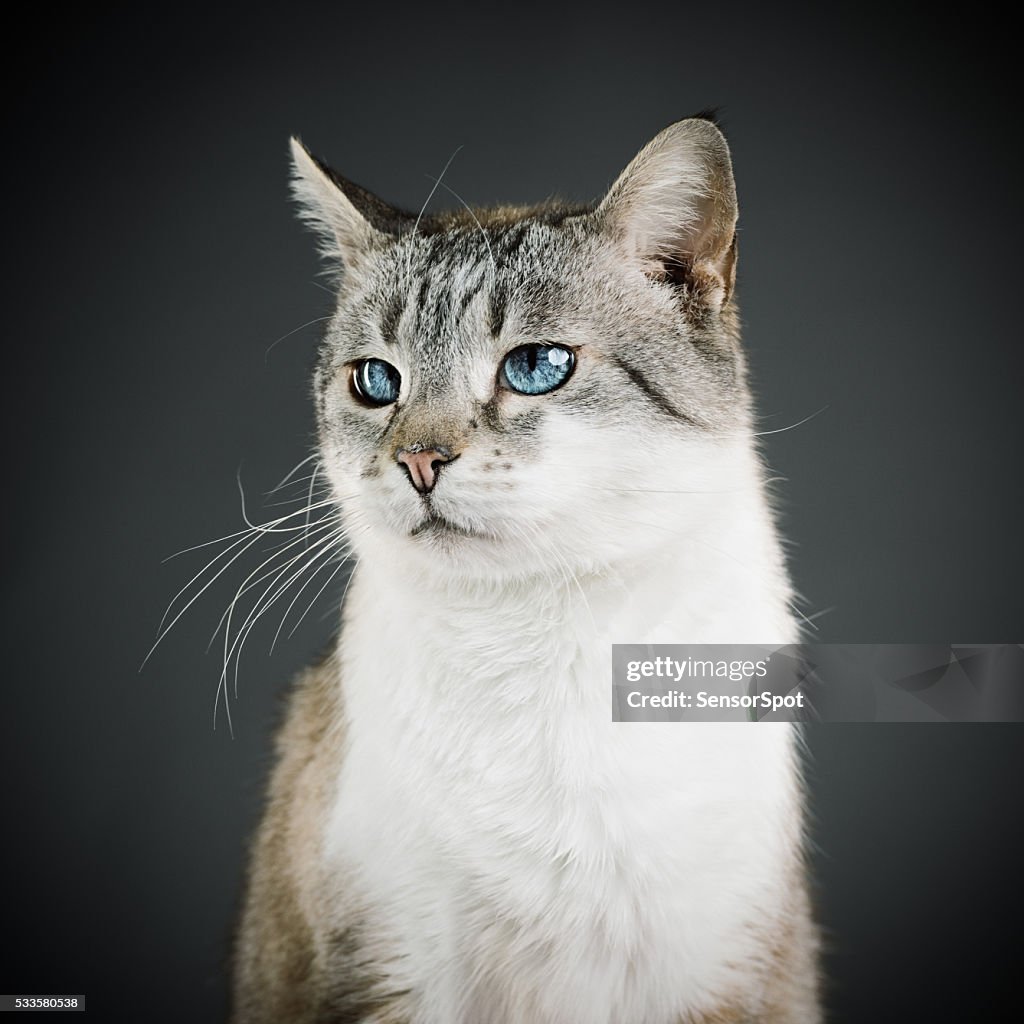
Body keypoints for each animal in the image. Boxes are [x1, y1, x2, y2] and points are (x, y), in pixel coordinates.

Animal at [232, 117, 823, 1024]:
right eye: (376, 381)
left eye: (537, 366)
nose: (418, 461)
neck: (533, 635)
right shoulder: (384, 973)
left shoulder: (729, 974)